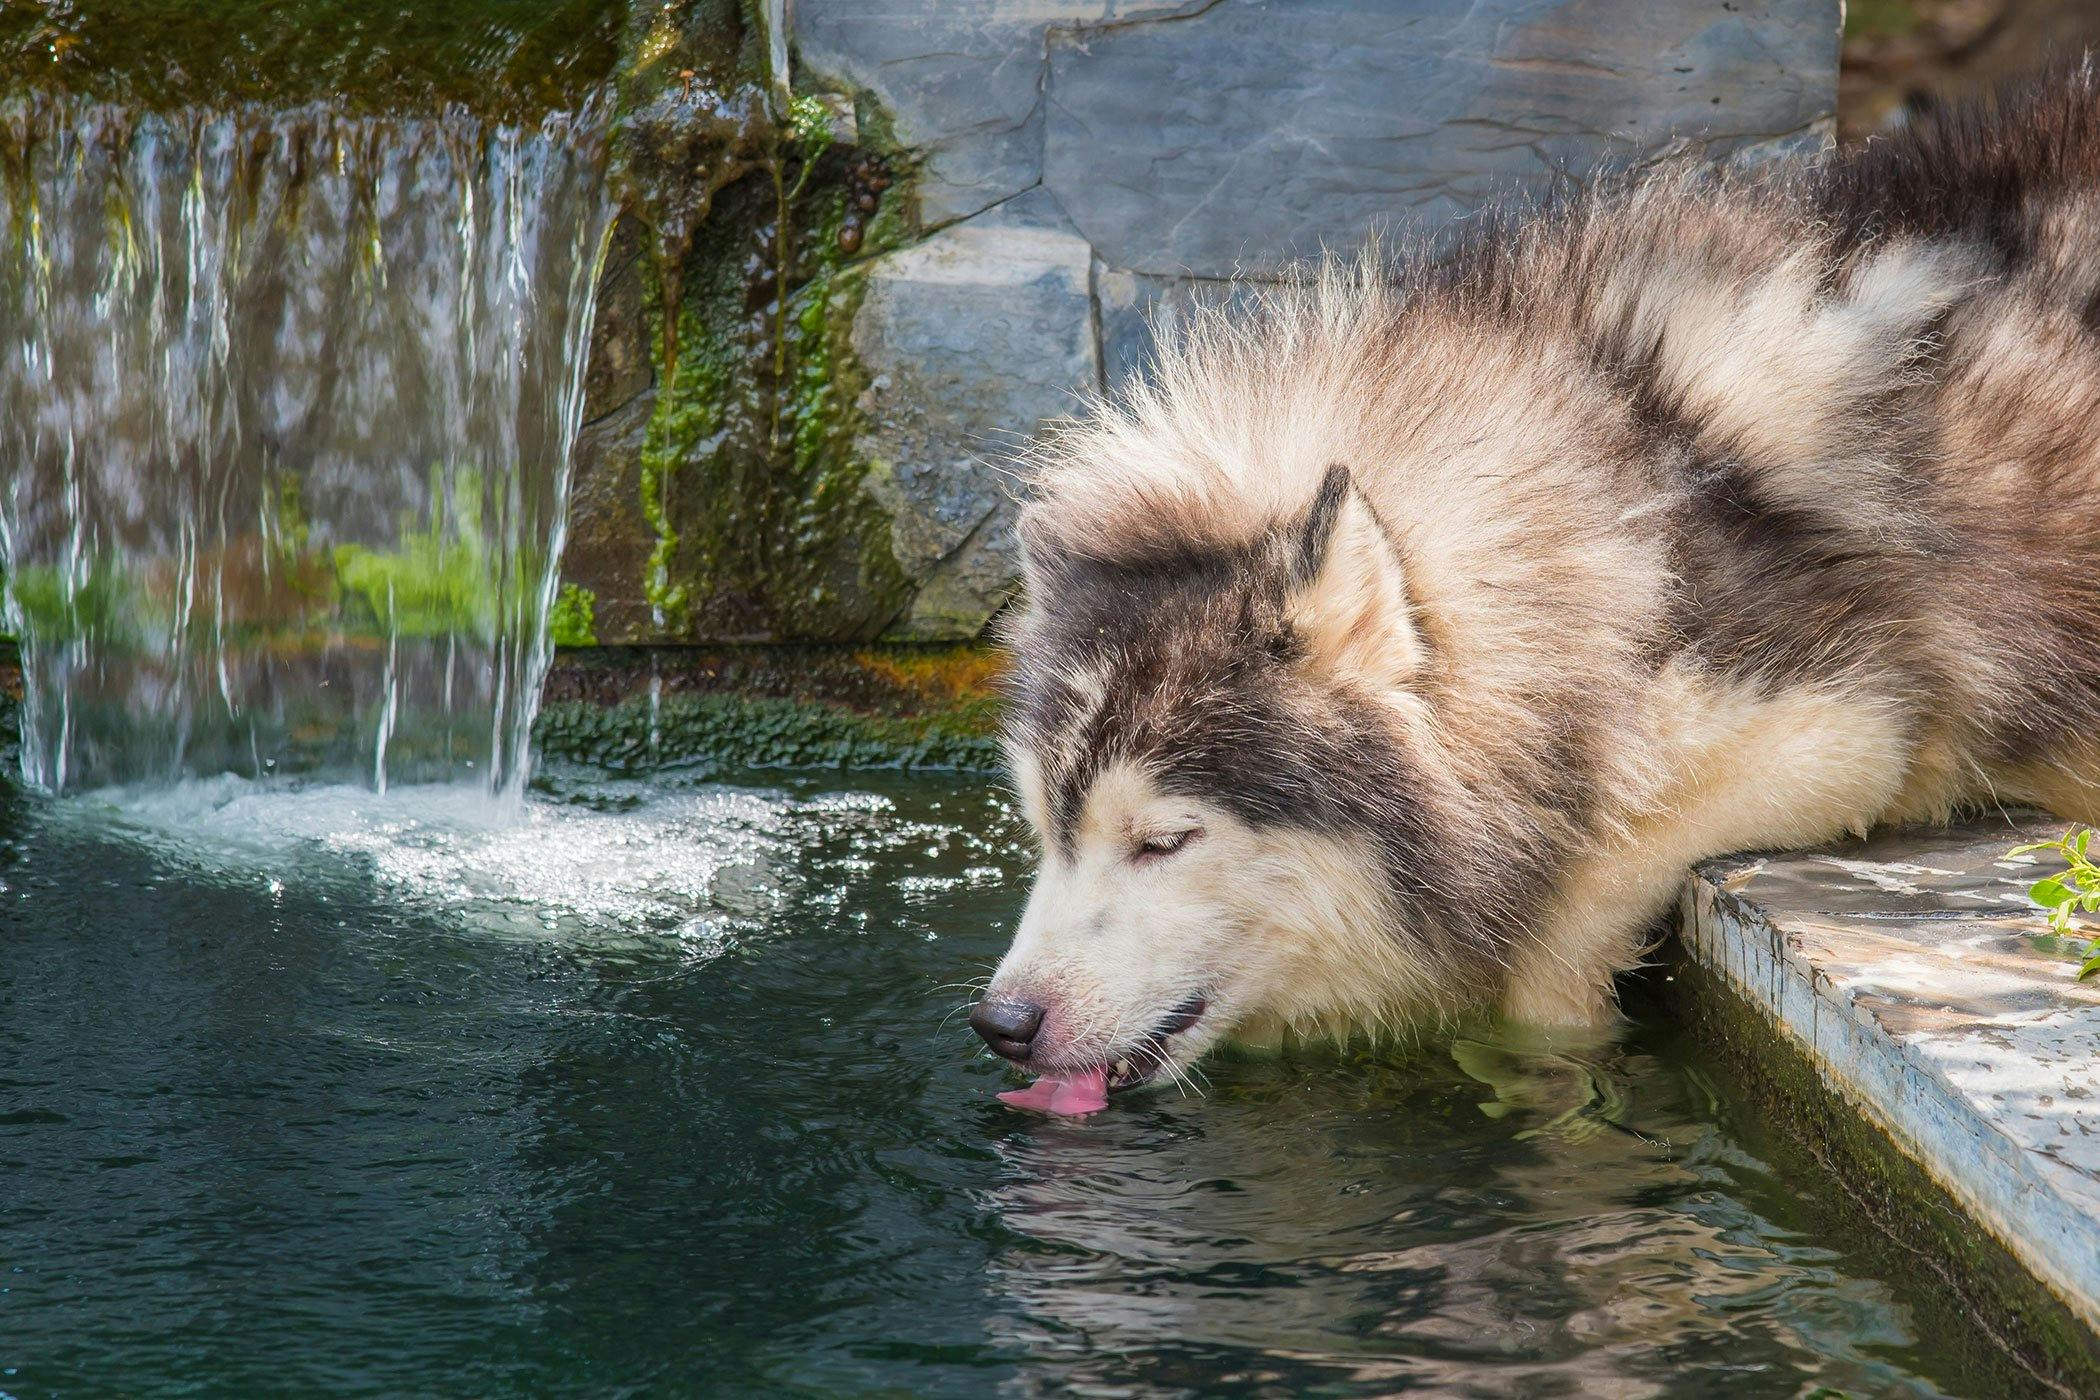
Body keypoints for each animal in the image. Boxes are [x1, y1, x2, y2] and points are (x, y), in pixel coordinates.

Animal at [974, 71, 2100, 1116]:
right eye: (1046, 829)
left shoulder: (1852, 723)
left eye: (1162, 842)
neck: (1623, 501)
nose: (1002, 1024)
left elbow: (1562, 939)